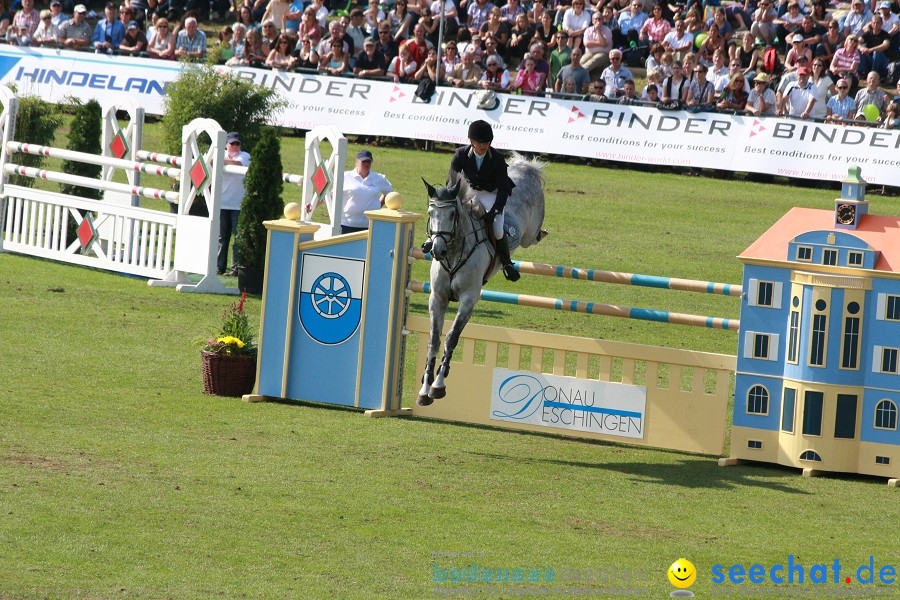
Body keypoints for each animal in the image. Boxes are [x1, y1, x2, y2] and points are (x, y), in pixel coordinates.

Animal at [416, 154, 548, 408]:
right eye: (430, 213)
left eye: (452, 215)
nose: (437, 250)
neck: (454, 251)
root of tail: (525, 167)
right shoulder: (437, 297)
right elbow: (434, 339)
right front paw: (425, 389)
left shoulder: (469, 299)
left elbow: (451, 337)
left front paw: (438, 385)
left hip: (527, 232)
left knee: (532, 236)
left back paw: (538, 236)